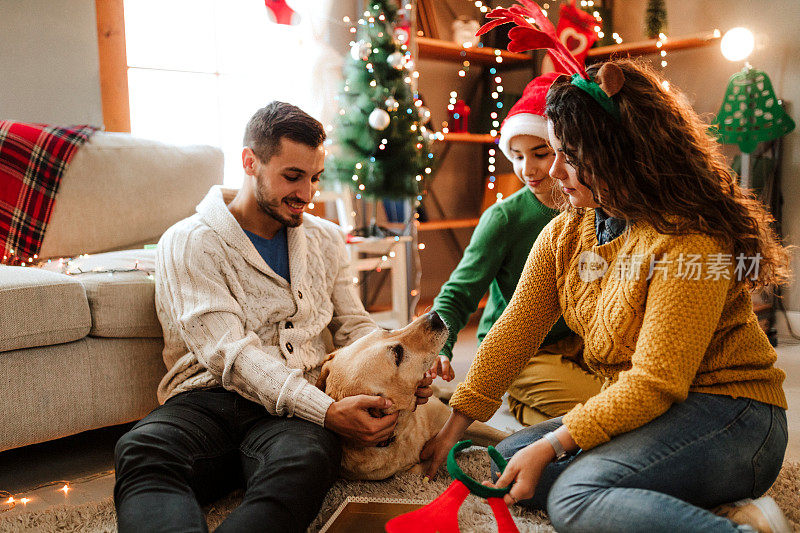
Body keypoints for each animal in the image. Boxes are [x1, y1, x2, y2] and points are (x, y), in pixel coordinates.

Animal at [316, 310, 510, 480]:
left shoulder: (455, 421)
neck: (404, 429)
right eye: (398, 354)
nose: (434, 315)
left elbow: (501, 437)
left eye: (386, 330)